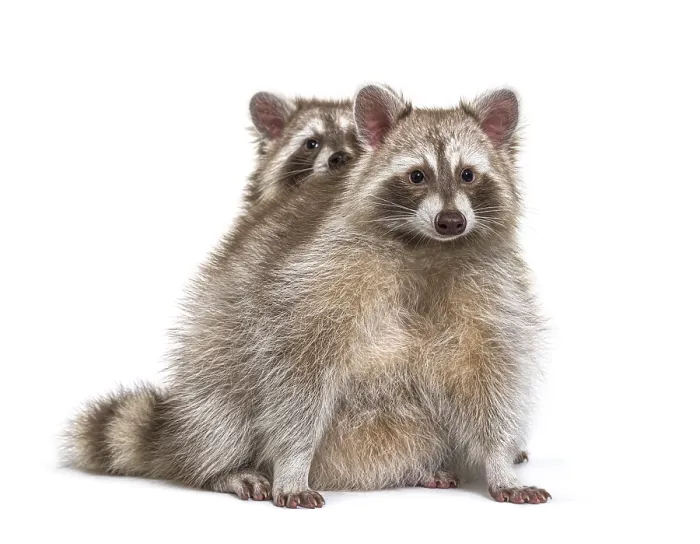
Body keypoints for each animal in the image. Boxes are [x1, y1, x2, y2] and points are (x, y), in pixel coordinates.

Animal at [66, 85, 549, 508]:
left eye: (468, 174)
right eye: (417, 175)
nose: (451, 221)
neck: (427, 247)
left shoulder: (493, 292)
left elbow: (493, 378)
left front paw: (499, 462)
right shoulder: (314, 282)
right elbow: (296, 379)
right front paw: (292, 465)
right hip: (211, 351)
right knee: (222, 402)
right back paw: (223, 467)